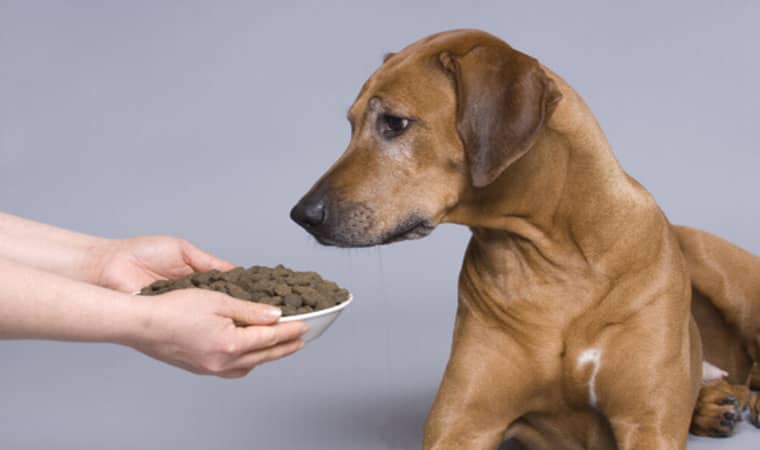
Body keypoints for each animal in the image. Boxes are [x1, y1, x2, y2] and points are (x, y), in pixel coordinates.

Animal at [290, 29, 760, 448]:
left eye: (394, 123)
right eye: (351, 125)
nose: (302, 215)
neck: (558, 260)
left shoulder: (647, 424)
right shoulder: (462, 422)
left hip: (714, 264)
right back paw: (712, 405)